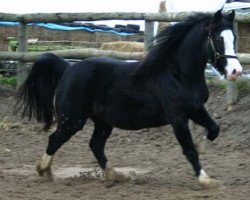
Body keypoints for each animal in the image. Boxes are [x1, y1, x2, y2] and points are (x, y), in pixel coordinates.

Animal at [16, 10, 242, 189]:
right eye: (219, 39)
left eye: (234, 38)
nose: (236, 71)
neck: (177, 73)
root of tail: (68, 67)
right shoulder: (178, 118)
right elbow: (189, 150)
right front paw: (206, 180)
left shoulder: (196, 109)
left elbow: (214, 129)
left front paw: (202, 147)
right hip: (72, 119)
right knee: (55, 139)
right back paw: (44, 171)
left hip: (102, 122)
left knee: (95, 144)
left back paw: (115, 175)